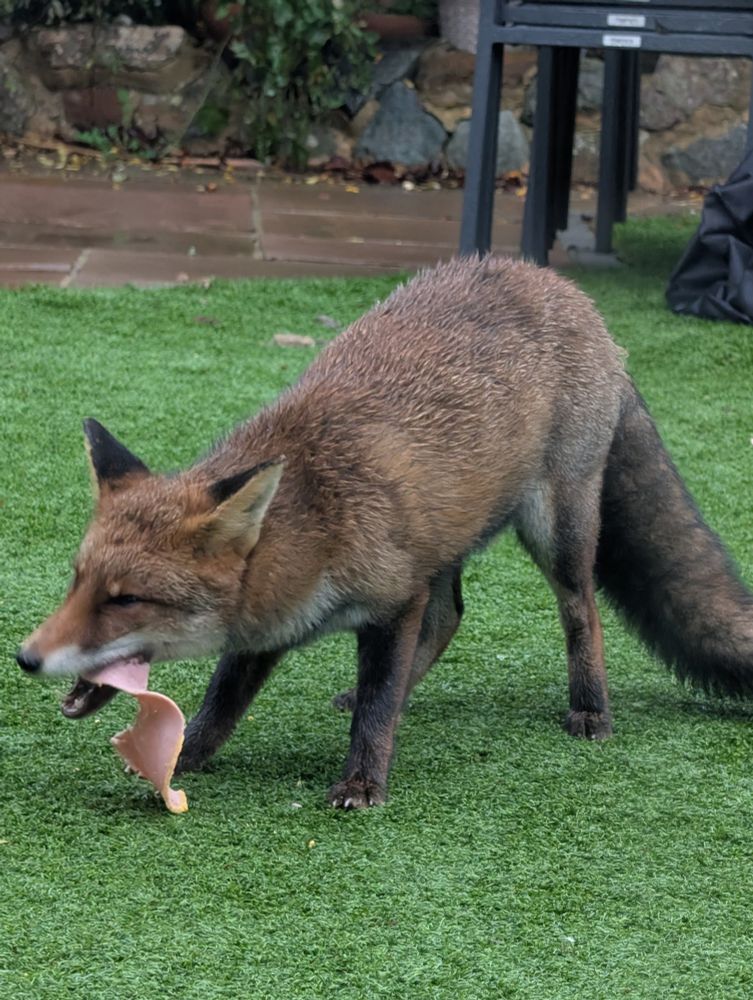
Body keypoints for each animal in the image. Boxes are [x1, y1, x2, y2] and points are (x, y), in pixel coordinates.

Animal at [16, 256, 753, 808]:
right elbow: (221, 704)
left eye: (125, 599)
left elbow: (373, 707)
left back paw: (591, 710)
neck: (314, 518)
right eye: (77, 582)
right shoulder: (272, 627)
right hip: (446, 540)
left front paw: (364, 780)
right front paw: (187, 756)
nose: (26, 658)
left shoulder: (393, 600)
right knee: (451, 615)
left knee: (581, 612)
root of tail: (561, 286)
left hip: (556, 528)